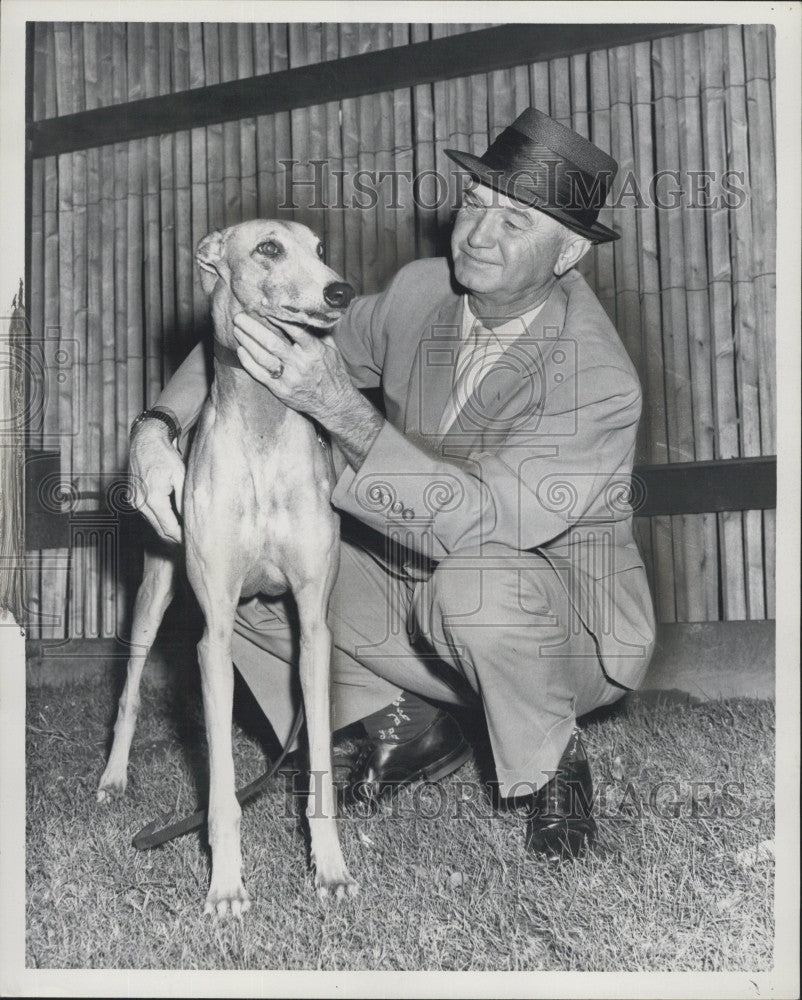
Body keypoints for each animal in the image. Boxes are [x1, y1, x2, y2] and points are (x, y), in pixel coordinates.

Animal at [97, 219, 356, 916]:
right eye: (268, 248)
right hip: (154, 598)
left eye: (322, 248)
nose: (340, 291)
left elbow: (319, 761)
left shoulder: (313, 627)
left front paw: (330, 869)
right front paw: (227, 886)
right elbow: (219, 791)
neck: (263, 425)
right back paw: (112, 777)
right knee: (130, 693)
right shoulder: (210, 639)